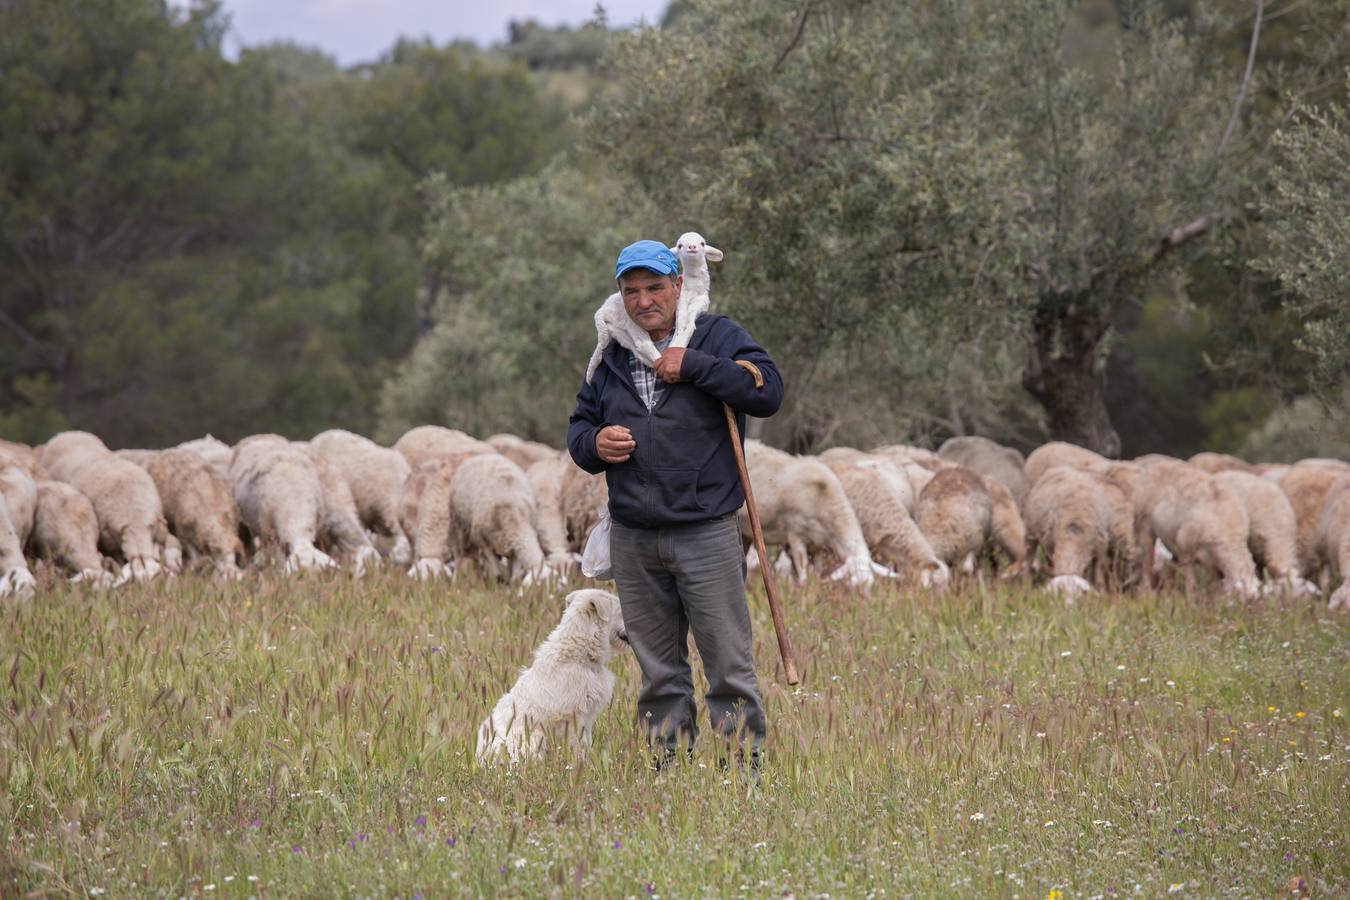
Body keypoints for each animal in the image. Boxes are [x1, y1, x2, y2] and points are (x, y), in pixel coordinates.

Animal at [475, 588, 626, 766]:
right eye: (621, 610)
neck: (578, 653)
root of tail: (483, 759)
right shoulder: (574, 717)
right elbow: (579, 745)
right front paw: (584, 765)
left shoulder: (586, 717)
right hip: (532, 737)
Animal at [1134, 464, 1258, 599]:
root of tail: (1158, 465)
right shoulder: (1186, 551)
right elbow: (1191, 584)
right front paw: (1191, 601)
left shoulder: (1214, 564)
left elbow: (1215, 586)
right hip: (1145, 526)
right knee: (1147, 564)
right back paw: (1145, 593)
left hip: (1172, 540)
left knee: (1168, 568)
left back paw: (1167, 593)